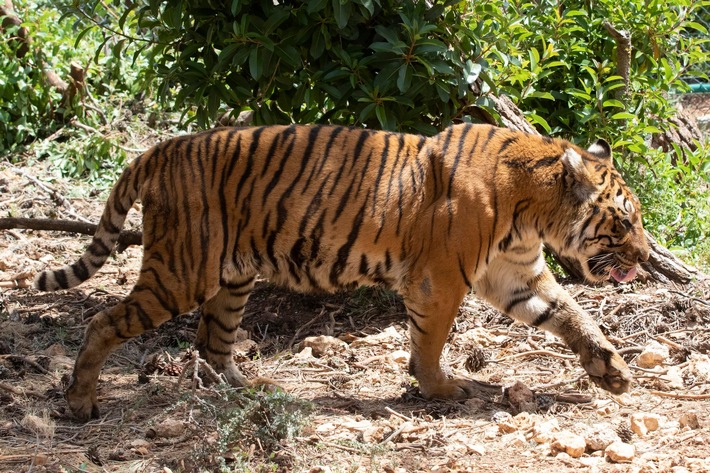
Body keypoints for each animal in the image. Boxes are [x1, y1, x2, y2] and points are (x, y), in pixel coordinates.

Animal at [36, 122, 652, 420]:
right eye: (624, 222)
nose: (647, 258)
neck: (533, 209)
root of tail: (159, 149)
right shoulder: (440, 279)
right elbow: (431, 340)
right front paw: (440, 388)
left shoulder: (515, 275)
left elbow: (570, 314)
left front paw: (612, 371)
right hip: (181, 272)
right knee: (103, 322)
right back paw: (81, 403)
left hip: (232, 279)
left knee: (212, 344)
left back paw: (247, 391)